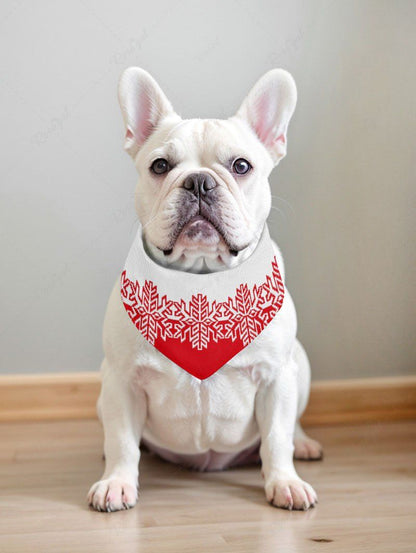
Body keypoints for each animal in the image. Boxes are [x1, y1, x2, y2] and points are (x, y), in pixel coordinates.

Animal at [87, 68, 322, 512]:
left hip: (299, 365)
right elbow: (123, 439)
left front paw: (284, 482)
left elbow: (276, 437)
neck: (202, 279)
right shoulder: (122, 380)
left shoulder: (277, 377)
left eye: (242, 165)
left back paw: (303, 446)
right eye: (160, 165)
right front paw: (117, 483)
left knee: (291, 427)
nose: (199, 182)